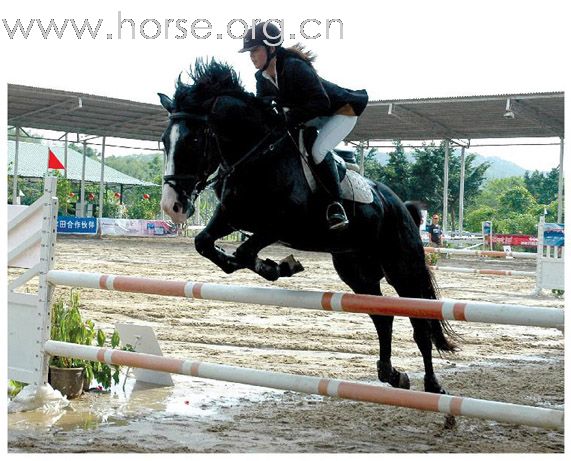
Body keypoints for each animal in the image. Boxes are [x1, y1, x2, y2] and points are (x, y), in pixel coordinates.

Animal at [158, 58, 460, 406]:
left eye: (194, 140)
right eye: (164, 141)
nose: (172, 206)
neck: (256, 154)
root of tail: (400, 206)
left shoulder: (280, 224)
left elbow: (243, 251)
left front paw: (279, 266)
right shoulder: (231, 217)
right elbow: (205, 243)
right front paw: (275, 266)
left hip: (403, 268)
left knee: (420, 323)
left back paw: (433, 386)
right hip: (356, 270)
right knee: (383, 316)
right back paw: (392, 374)